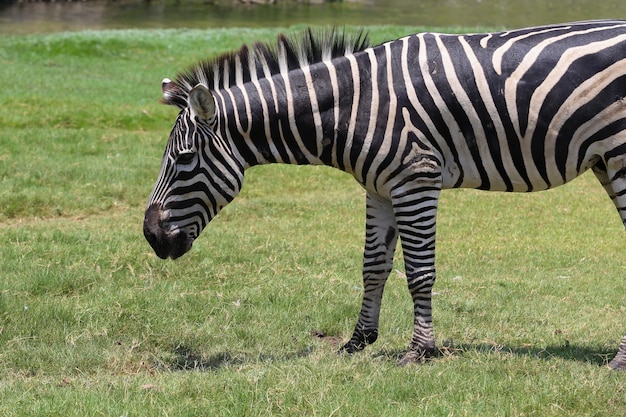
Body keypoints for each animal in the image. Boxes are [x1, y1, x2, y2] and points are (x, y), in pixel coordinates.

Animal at [144, 22, 624, 368]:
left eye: (184, 159)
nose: (151, 236)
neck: (354, 105)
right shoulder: (379, 189)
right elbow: (373, 267)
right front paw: (357, 342)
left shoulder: (416, 178)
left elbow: (419, 272)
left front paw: (420, 350)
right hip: (605, 161)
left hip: (619, 157)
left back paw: (618, 361)